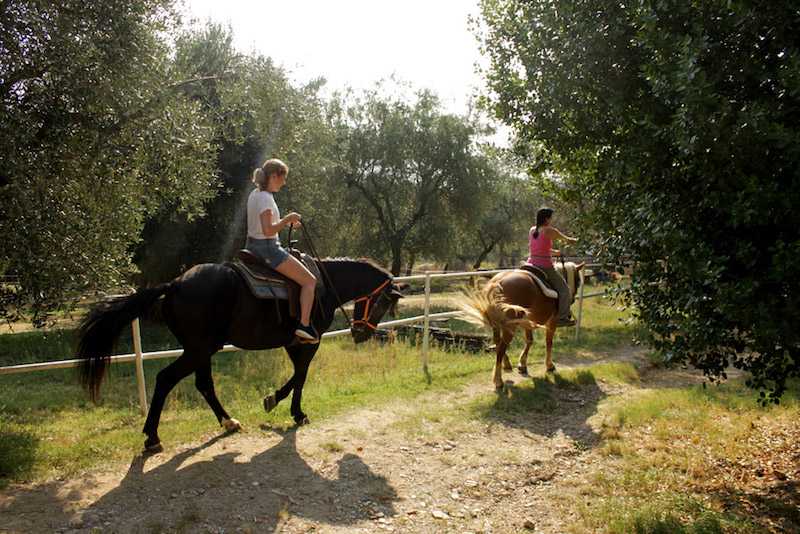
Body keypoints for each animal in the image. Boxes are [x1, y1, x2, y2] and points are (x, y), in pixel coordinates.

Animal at [78, 260, 404, 452]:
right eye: (383, 301)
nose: (361, 334)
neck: (322, 285)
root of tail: (175, 284)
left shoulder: (292, 342)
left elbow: (297, 374)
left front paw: (276, 402)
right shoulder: (309, 341)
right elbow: (301, 375)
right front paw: (290, 409)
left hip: (202, 350)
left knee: (203, 384)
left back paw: (228, 422)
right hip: (198, 349)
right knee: (165, 378)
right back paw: (152, 436)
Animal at [460, 264, 584, 394]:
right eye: (578, 281)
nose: (573, 299)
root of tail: (497, 282)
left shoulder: (527, 322)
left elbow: (529, 341)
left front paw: (522, 365)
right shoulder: (552, 322)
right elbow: (549, 342)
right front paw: (549, 366)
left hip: (499, 324)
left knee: (497, 342)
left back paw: (507, 365)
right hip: (510, 326)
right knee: (501, 348)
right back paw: (498, 381)